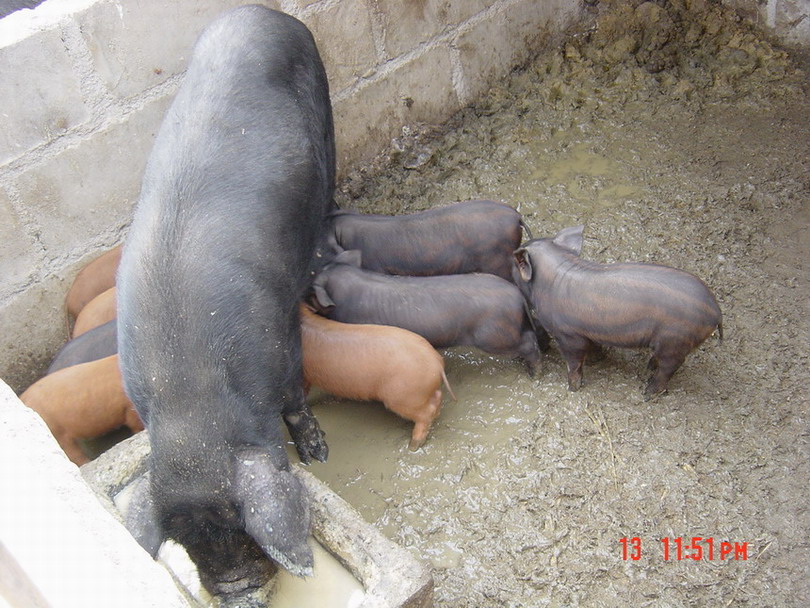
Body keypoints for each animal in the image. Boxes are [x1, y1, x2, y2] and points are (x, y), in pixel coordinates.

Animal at [116, 6, 335, 595]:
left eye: (240, 527)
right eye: (185, 542)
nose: (238, 594)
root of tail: (259, 13)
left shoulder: (280, 339)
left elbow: (295, 396)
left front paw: (318, 455)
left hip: (324, 109)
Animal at [513, 225, 723, 397]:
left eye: (514, 265)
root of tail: (716, 311)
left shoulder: (569, 335)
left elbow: (573, 363)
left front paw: (572, 389)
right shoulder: (587, 332)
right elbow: (593, 348)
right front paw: (596, 361)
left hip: (676, 340)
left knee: (669, 368)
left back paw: (647, 394)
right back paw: (648, 368)